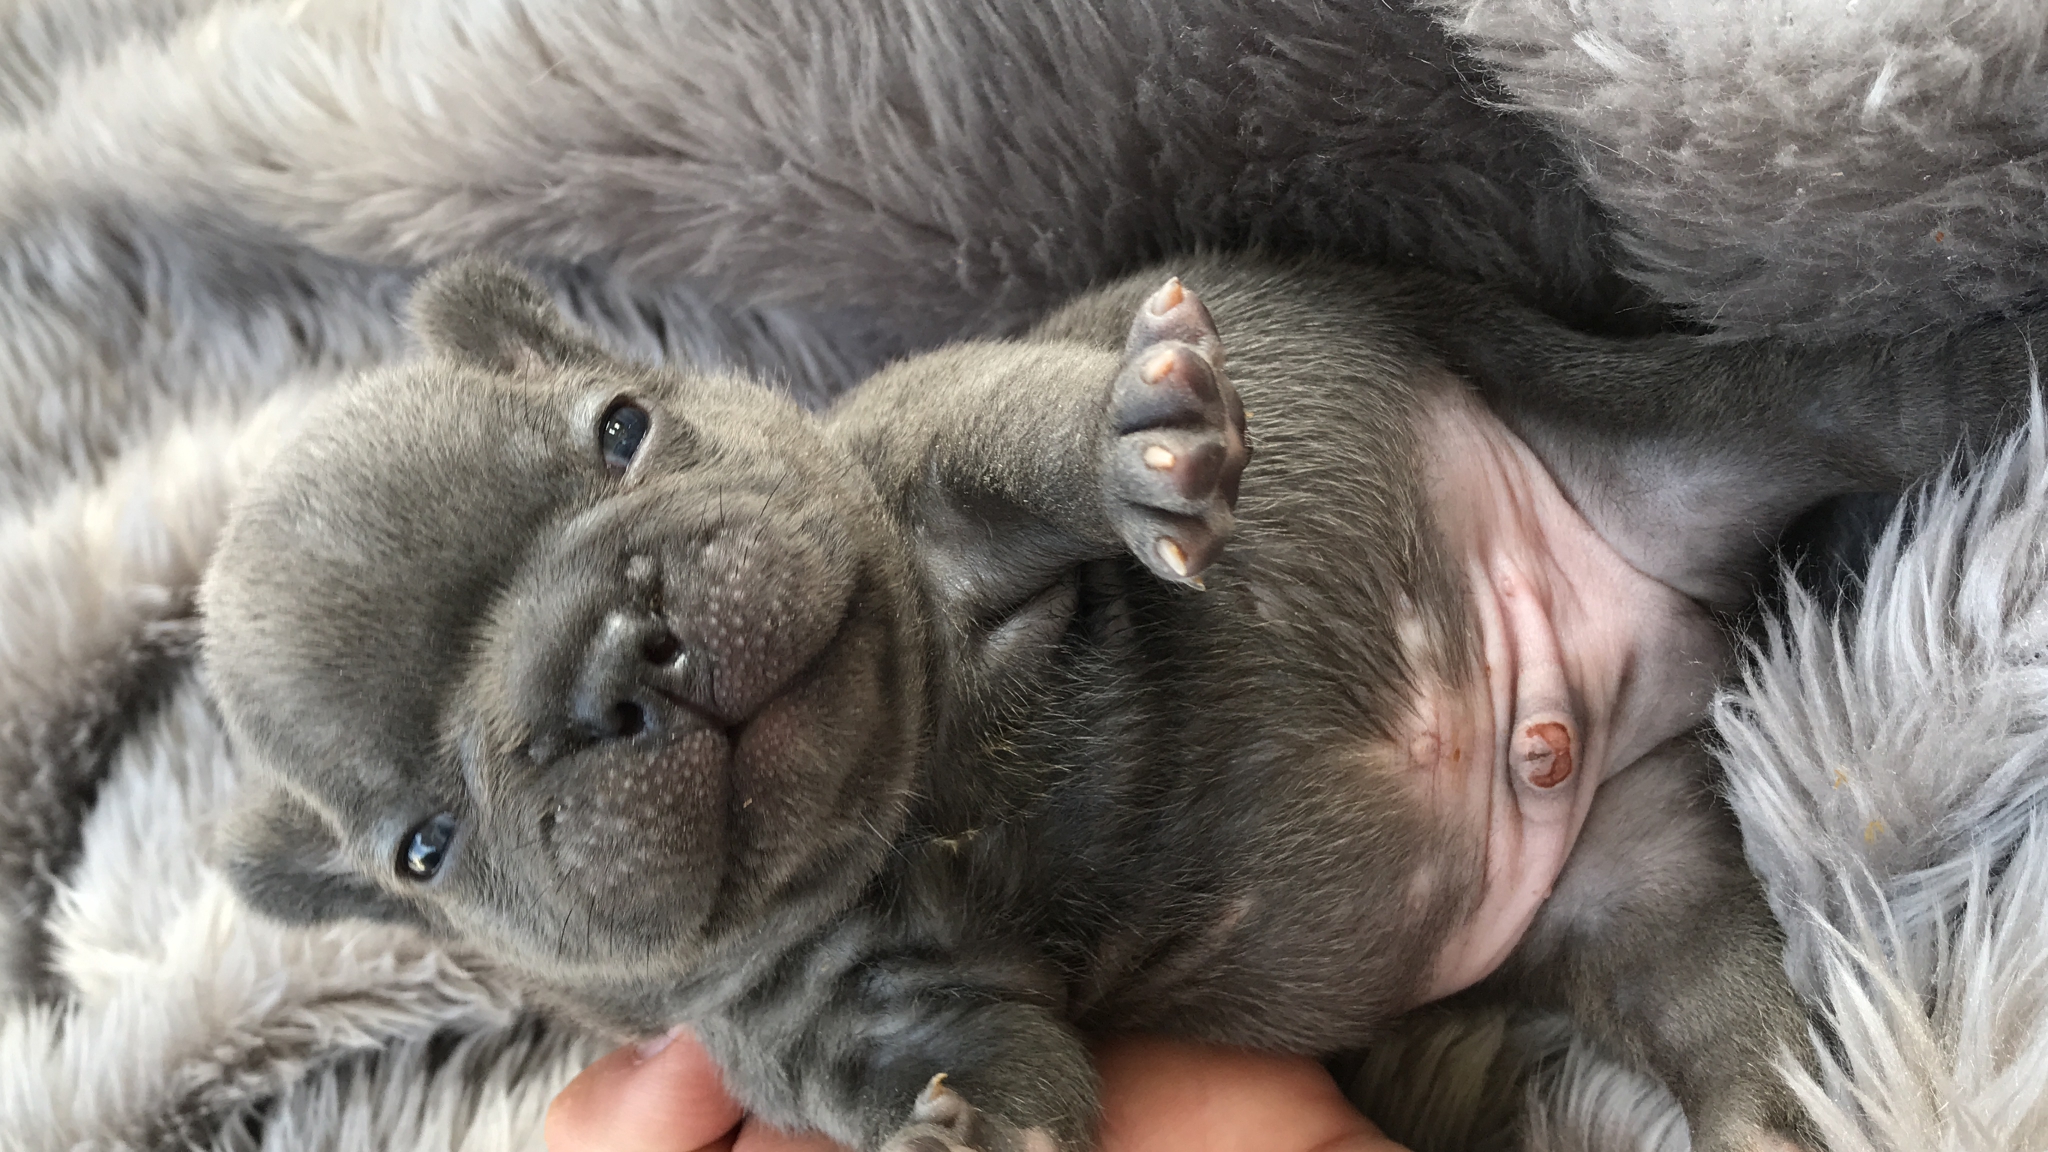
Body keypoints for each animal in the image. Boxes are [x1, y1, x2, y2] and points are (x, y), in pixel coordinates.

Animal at [199, 253, 2040, 1152]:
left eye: (622, 431)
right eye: (424, 843)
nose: (604, 664)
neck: (914, 773)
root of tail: (1631, 641)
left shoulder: (918, 451)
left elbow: (1017, 433)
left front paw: (1122, 438)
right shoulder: (819, 1007)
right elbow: (959, 1052)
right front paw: (959, 1127)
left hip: (1700, 411)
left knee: (1876, 395)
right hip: (1630, 866)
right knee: (1709, 995)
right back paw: (1772, 1114)